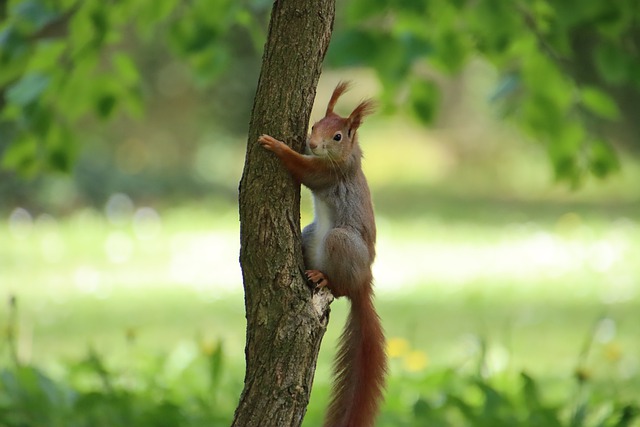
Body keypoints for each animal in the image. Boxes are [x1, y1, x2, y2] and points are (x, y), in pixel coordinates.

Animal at [258, 82, 388, 427]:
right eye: (315, 125)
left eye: (338, 136)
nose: (313, 143)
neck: (348, 157)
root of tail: (363, 282)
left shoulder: (329, 173)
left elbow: (304, 170)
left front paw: (276, 146)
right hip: (310, 234)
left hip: (340, 242)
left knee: (340, 289)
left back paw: (323, 277)